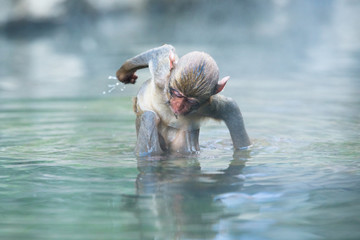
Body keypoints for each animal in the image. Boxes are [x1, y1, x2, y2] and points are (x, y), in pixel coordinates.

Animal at [116, 44, 250, 156]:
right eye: (177, 94)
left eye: (191, 101)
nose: (178, 106)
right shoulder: (161, 78)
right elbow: (161, 51)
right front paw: (124, 74)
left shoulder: (207, 105)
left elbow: (231, 108)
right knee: (149, 116)